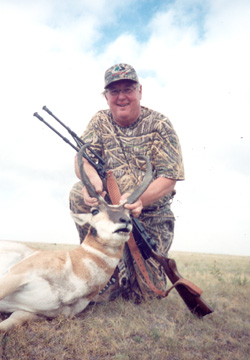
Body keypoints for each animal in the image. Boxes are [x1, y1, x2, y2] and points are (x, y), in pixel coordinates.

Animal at [0, 152, 152, 332]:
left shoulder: (30, 313)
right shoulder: (14, 276)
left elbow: (8, 324)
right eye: (94, 210)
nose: (125, 221)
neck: (72, 264)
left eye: (130, 213)